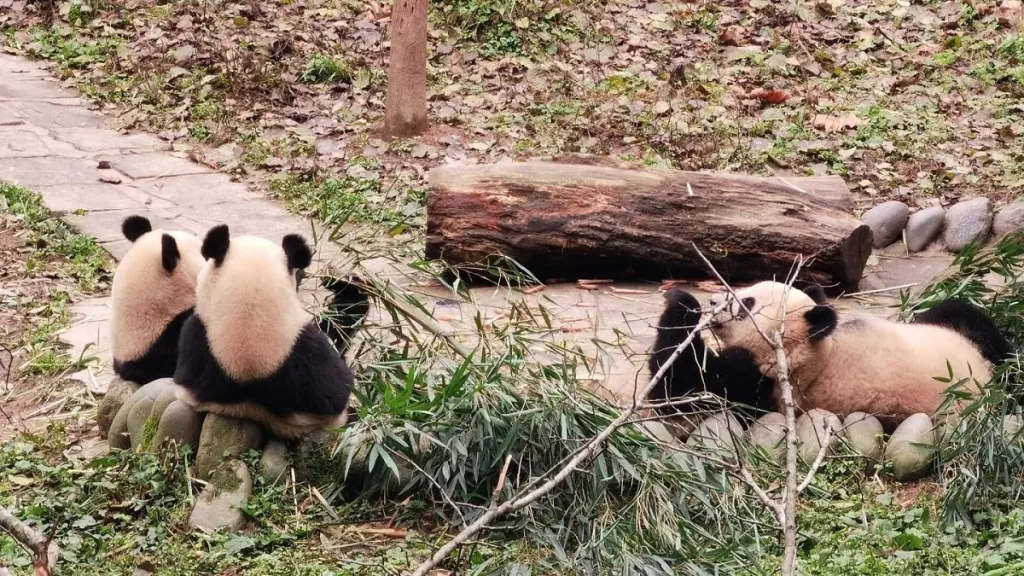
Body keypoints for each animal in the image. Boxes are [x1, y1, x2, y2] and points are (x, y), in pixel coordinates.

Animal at [649, 281, 1013, 431]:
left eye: (747, 303)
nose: (713, 302)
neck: (813, 354)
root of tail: (986, 380)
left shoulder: (764, 384)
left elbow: (683, 390)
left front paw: (682, 303)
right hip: (955, 330)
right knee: (965, 313)